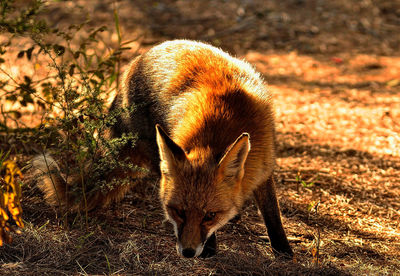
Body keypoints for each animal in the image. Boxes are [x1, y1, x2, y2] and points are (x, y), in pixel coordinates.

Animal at [31, 39, 292, 258]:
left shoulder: (264, 169)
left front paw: (283, 249)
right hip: (156, 154)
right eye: (178, 211)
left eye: (210, 215)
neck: (224, 118)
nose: (187, 252)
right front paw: (210, 248)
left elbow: (272, 214)